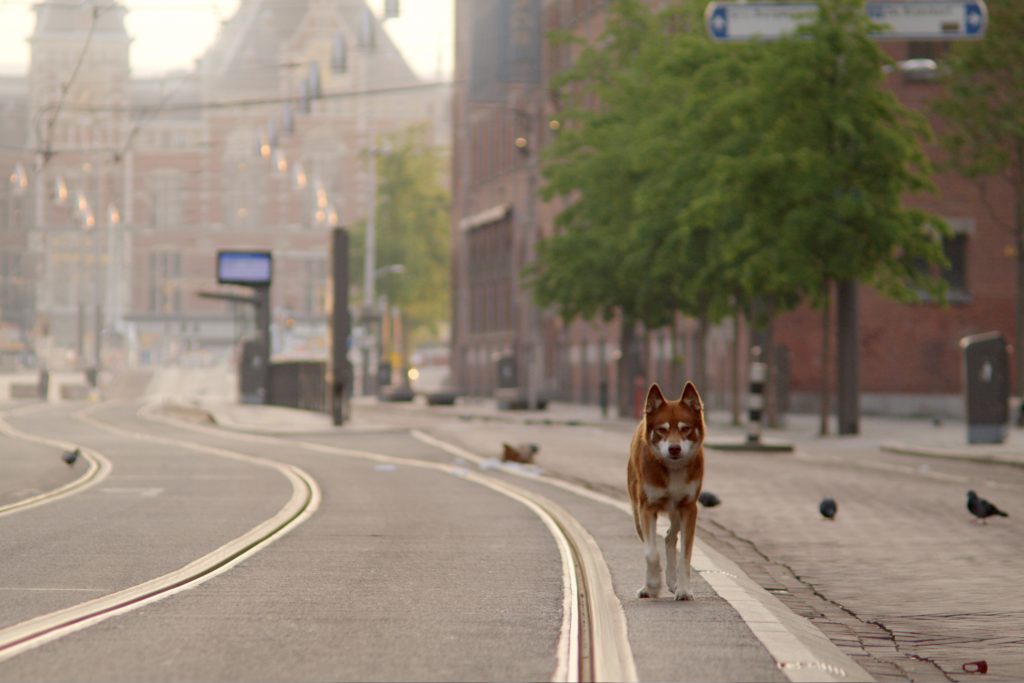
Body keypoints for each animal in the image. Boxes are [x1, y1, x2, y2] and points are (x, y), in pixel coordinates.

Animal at [622, 382, 704, 602]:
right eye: (661, 429)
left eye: (685, 429)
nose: (674, 448)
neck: (672, 469)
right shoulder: (647, 508)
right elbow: (651, 553)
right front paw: (652, 586)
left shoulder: (689, 508)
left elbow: (685, 556)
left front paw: (683, 590)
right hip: (637, 513)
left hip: (677, 511)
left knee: (669, 536)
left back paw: (673, 583)